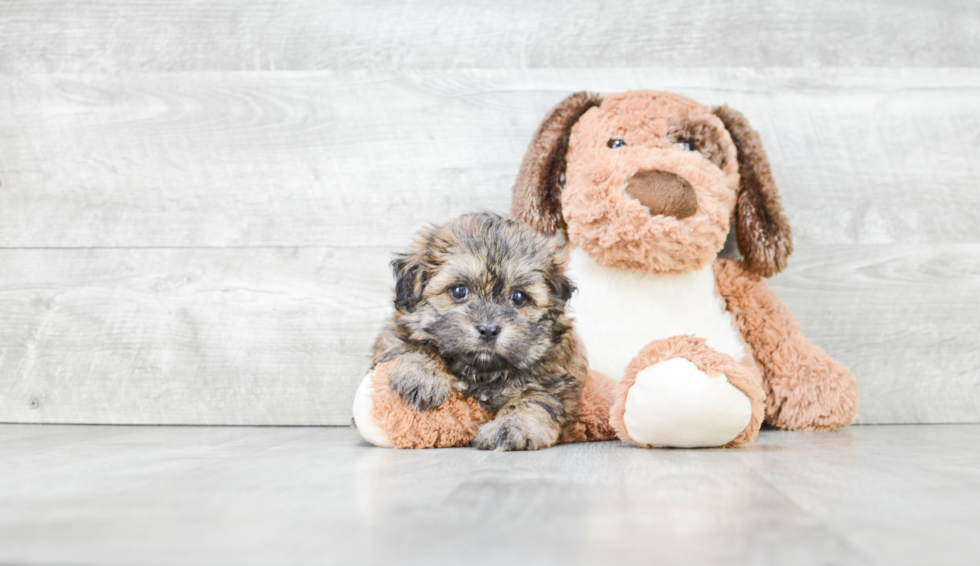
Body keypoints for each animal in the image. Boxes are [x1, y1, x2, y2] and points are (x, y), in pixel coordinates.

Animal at [368, 213, 580, 452]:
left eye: (518, 297)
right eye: (459, 290)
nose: (488, 330)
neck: (481, 370)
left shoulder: (551, 380)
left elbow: (533, 401)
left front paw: (511, 427)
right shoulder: (393, 339)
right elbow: (415, 346)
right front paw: (422, 376)